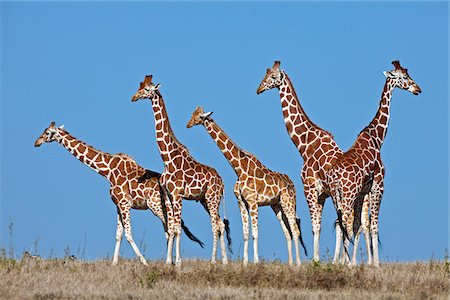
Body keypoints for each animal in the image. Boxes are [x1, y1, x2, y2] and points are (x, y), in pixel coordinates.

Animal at [33, 122, 204, 264]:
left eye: (47, 132)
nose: (36, 142)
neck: (107, 171)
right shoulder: (117, 205)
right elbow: (118, 235)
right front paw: (114, 264)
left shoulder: (124, 204)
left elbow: (128, 234)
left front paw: (144, 262)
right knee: (170, 229)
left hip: (156, 206)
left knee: (170, 228)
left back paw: (171, 262)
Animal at [129, 74, 229, 264]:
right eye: (139, 87)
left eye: (146, 89)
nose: (133, 97)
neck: (166, 158)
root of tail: (222, 182)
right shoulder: (167, 196)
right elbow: (172, 227)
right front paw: (169, 262)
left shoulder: (178, 195)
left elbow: (177, 228)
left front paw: (179, 262)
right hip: (204, 199)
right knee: (220, 223)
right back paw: (225, 261)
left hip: (212, 197)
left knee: (215, 224)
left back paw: (214, 261)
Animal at [185, 106, 306, 266]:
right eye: (192, 114)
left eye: (199, 117)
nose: (188, 124)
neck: (239, 168)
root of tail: (293, 185)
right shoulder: (241, 202)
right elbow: (245, 233)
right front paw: (245, 262)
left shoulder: (253, 202)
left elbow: (255, 232)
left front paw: (255, 261)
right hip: (277, 205)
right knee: (287, 232)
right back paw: (291, 263)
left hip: (289, 202)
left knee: (295, 229)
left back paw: (298, 263)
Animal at [326, 59, 422, 266]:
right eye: (404, 77)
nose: (418, 89)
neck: (377, 137)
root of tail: (334, 176)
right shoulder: (378, 184)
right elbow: (374, 224)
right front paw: (375, 264)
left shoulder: (363, 190)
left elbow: (361, 224)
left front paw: (359, 262)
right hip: (348, 194)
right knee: (343, 221)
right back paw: (346, 262)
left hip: (336, 196)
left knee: (340, 223)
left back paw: (342, 261)